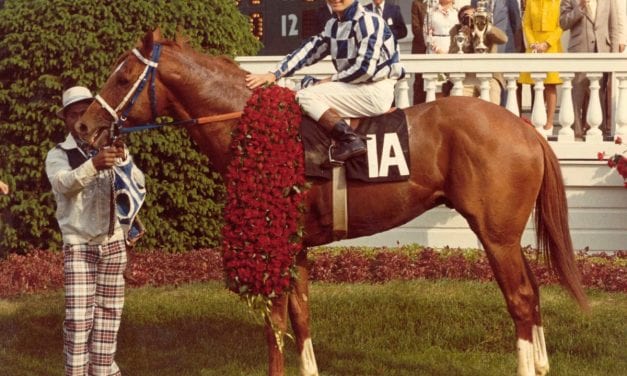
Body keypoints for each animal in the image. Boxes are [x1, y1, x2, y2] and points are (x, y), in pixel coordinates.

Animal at [78, 30, 588, 376]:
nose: (83, 127)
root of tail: (526, 129)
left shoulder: (274, 245)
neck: (252, 127)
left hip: (495, 234)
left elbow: (274, 323)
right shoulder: (298, 246)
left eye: (123, 75)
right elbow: (301, 317)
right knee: (533, 291)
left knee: (520, 298)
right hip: (507, 234)